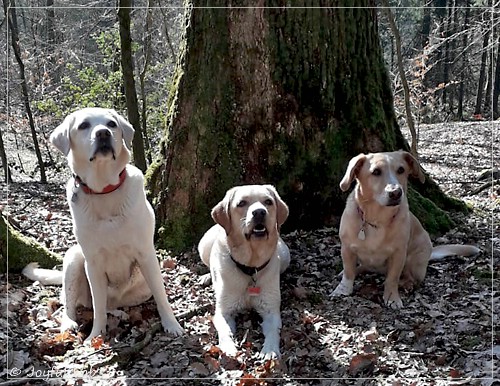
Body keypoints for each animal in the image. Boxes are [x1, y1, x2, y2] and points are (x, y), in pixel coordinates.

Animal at [23, 107, 184, 340]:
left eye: (111, 124)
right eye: (83, 125)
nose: (103, 133)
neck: (104, 190)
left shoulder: (146, 254)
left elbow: (162, 296)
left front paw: (172, 324)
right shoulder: (93, 263)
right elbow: (98, 307)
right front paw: (95, 337)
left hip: (139, 290)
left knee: (113, 304)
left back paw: (120, 313)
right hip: (73, 258)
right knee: (73, 303)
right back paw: (69, 324)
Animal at [196, 184, 290, 358]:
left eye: (268, 202)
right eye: (241, 203)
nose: (259, 212)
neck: (251, 268)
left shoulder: (271, 311)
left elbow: (273, 331)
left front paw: (270, 350)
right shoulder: (223, 311)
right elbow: (224, 331)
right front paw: (228, 347)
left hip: (285, 255)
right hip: (203, 245)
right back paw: (207, 277)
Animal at [330, 150, 478, 308]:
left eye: (401, 170)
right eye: (376, 172)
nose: (395, 192)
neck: (377, 219)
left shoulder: (398, 254)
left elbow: (392, 279)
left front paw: (392, 297)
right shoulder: (347, 248)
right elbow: (348, 272)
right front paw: (342, 289)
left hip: (416, 261)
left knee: (410, 278)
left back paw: (406, 284)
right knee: (361, 267)